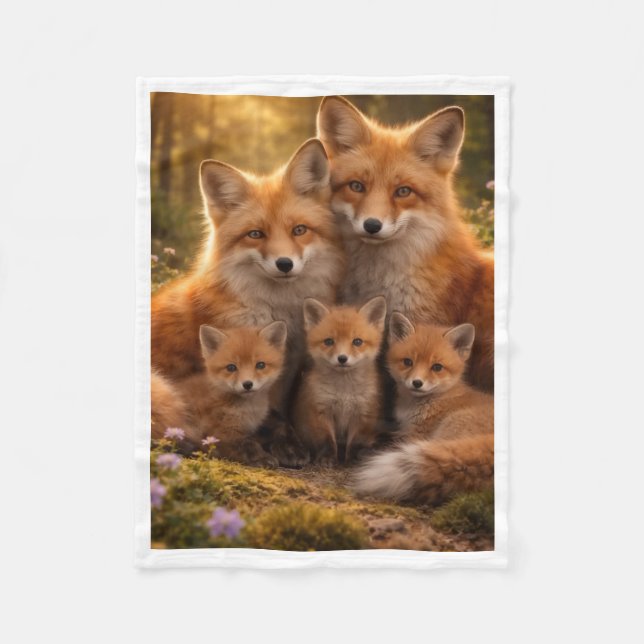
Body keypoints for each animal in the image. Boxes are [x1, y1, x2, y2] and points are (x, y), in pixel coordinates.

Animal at [151, 321, 289, 467]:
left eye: (260, 365)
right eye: (231, 367)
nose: (247, 384)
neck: (248, 410)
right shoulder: (223, 432)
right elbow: (249, 444)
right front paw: (262, 458)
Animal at [291, 296, 387, 465]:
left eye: (357, 342)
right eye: (329, 341)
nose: (342, 358)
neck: (344, 392)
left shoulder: (363, 413)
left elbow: (356, 441)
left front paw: (353, 458)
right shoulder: (321, 411)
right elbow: (326, 441)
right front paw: (327, 457)